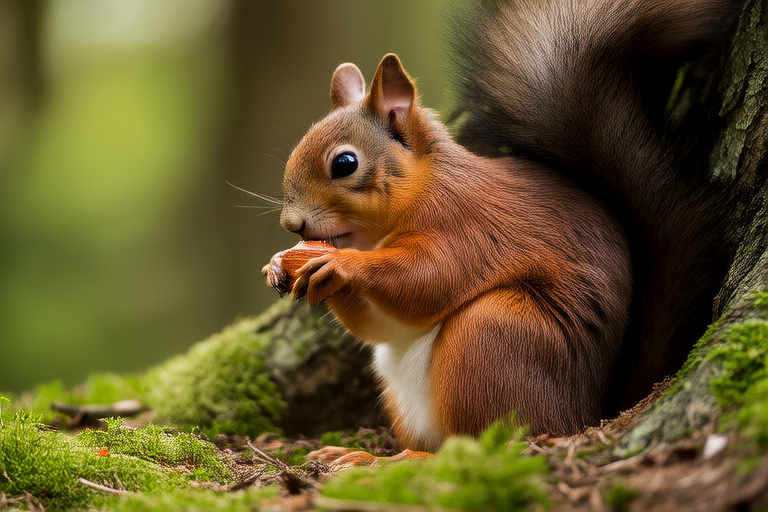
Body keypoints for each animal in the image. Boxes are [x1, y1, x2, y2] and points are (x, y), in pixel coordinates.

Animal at [265, 0, 742, 451]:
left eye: (345, 163)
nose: (292, 223)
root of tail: (588, 413)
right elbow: (381, 326)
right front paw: (279, 266)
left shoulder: (468, 227)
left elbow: (427, 280)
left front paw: (342, 264)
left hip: (493, 337)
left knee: (482, 440)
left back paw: (397, 458)